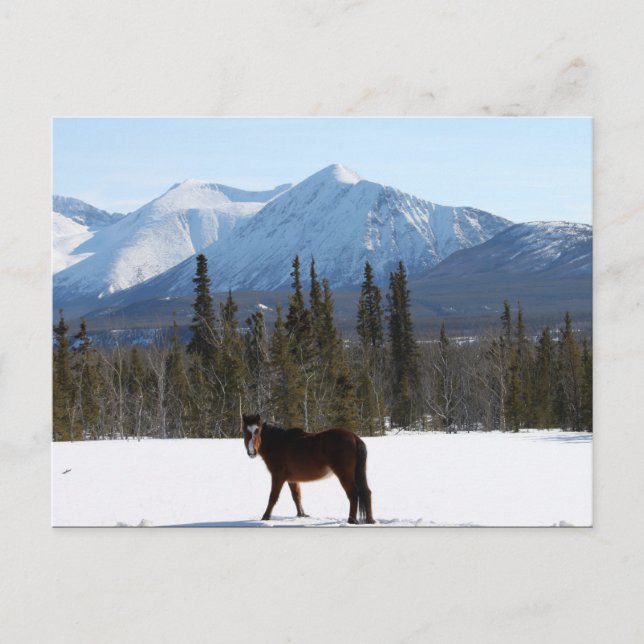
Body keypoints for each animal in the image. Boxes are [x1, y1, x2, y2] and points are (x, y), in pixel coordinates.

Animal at [242, 414, 375, 524]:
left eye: (258, 431)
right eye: (244, 431)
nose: (252, 452)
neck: (279, 443)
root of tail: (354, 437)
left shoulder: (277, 476)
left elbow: (273, 497)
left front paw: (265, 517)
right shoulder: (291, 479)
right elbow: (296, 496)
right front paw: (301, 514)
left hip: (344, 475)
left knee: (353, 494)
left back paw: (351, 520)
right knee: (366, 492)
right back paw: (370, 520)